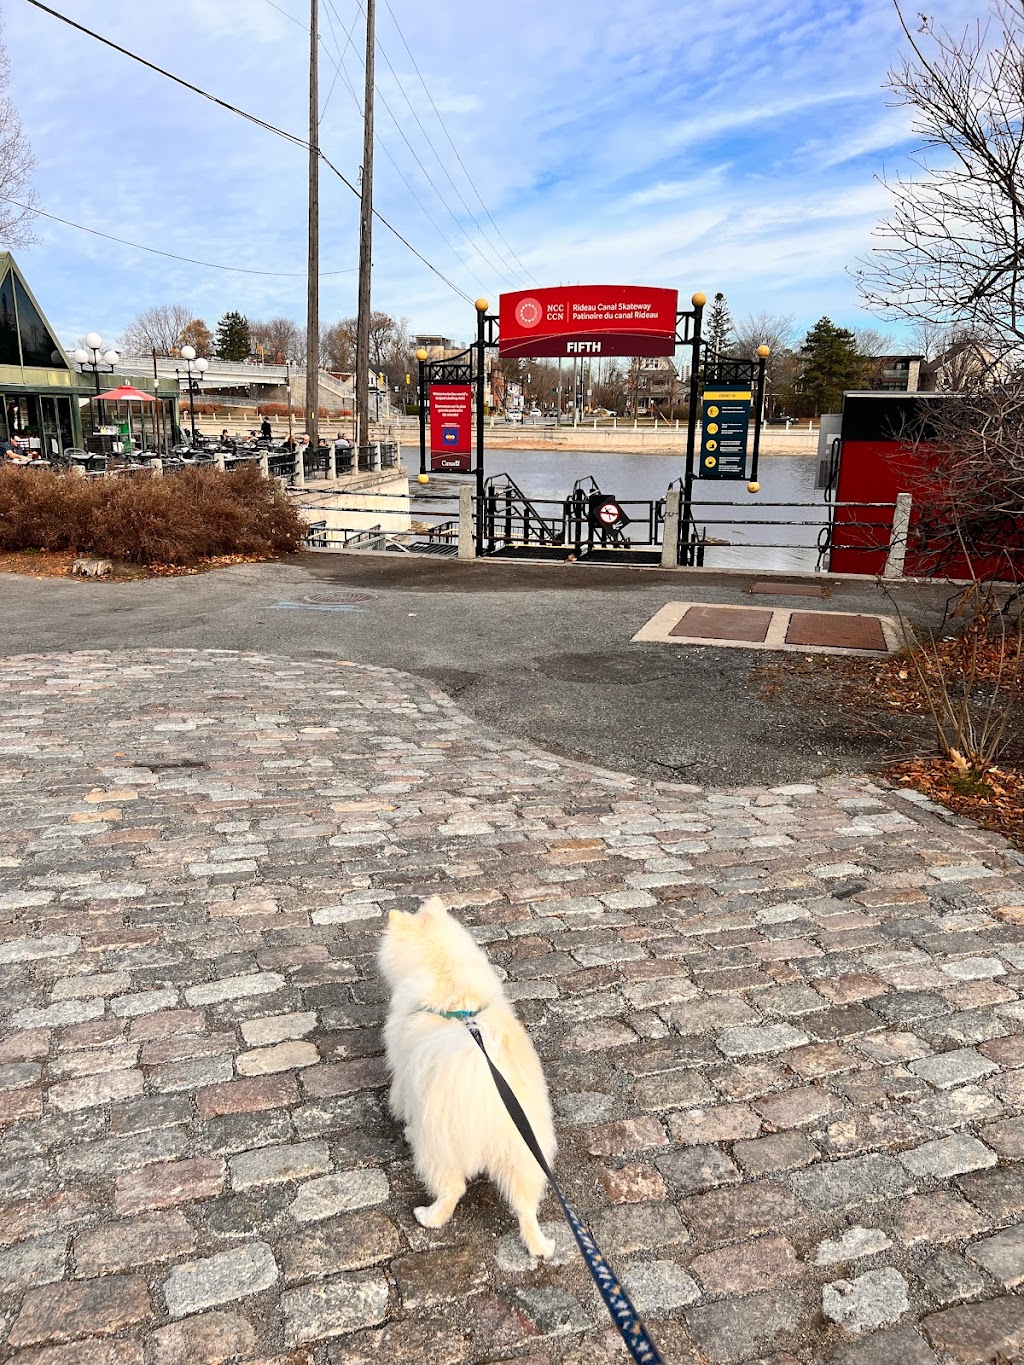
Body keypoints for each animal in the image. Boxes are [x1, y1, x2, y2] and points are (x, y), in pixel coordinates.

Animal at [382, 895, 557, 1255]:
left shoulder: (402, 1068)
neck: (447, 974)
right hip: (526, 1154)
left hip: (438, 1148)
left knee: (453, 1189)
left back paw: (428, 1216)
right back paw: (540, 1245)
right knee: (525, 1207)